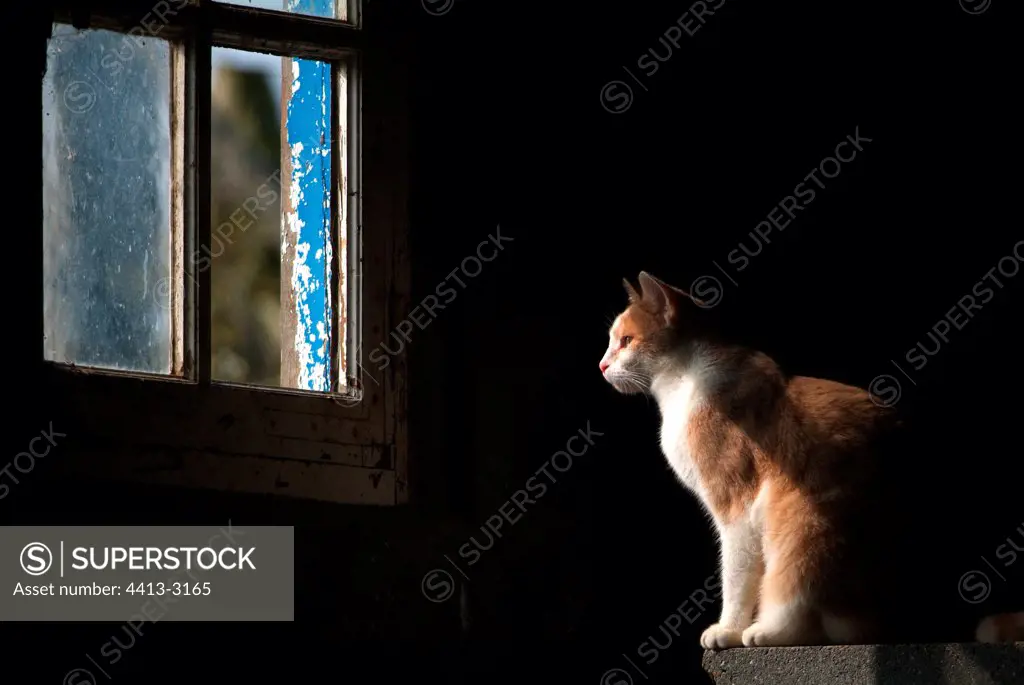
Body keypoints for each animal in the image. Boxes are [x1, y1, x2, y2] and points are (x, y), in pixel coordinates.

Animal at [598, 270, 1024, 647]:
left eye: (626, 341)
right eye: (612, 342)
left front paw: (728, 629)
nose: (602, 365)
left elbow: (736, 576)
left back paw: (766, 632)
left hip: (798, 520)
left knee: (807, 610)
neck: (684, 383)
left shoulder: (736, 509)